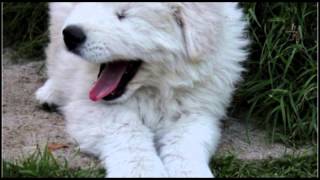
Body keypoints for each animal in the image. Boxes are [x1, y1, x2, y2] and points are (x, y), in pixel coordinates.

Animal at [35, 2, 250, 177]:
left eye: (123, 15)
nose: (72, 35)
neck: (155, 88)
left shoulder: (196, 110)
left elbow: (185, 145)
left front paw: (190, 172)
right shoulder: (94, 108)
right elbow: (131, 136)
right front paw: (141, 172)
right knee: (56, 57)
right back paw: (50, 94)